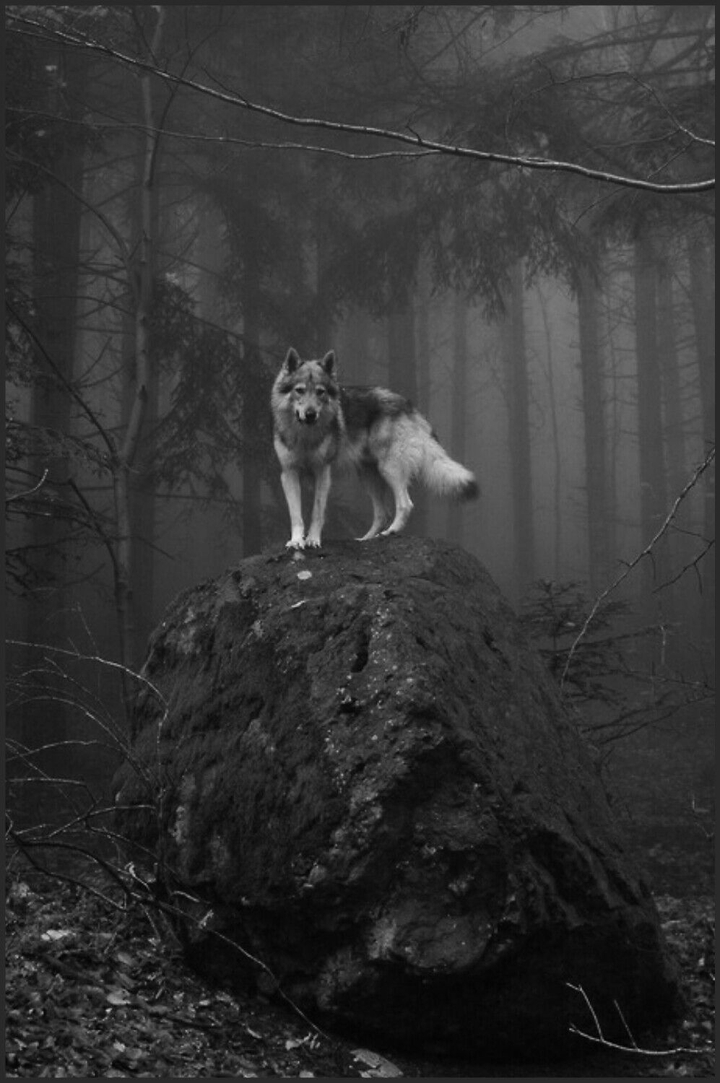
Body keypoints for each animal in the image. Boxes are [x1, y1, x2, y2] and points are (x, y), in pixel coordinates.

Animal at [271, 347, 478, 549]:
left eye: (320, 392)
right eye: (299, 390)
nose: (310, 414)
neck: (304, 436)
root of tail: (408, 405)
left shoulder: (323, 472)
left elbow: (317, 512)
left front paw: (313, 540)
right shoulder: (288, 473)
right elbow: (295, 514)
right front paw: (296, 541)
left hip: (389, 469)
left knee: (405, 504)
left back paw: (390, 532)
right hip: (368, 477)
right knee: (382, 513)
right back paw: (366, 540)